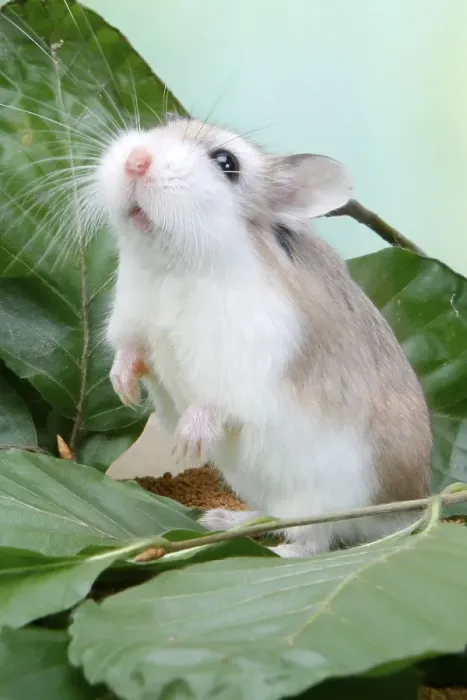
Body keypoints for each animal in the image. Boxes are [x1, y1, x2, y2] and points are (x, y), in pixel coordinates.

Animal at [94, 115, 432, 558]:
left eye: (227, 163)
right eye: (165, 126)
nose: (136, 160)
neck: (172, 264)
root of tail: (413, 506)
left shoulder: (247, 363)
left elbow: (215, 403)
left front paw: (185, 443)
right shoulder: (133, 321)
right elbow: (131, 351)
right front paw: (124, 391)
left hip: (324, 498)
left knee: (313, 542)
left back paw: (272, 550)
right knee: (270, 516)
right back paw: (221, 519)